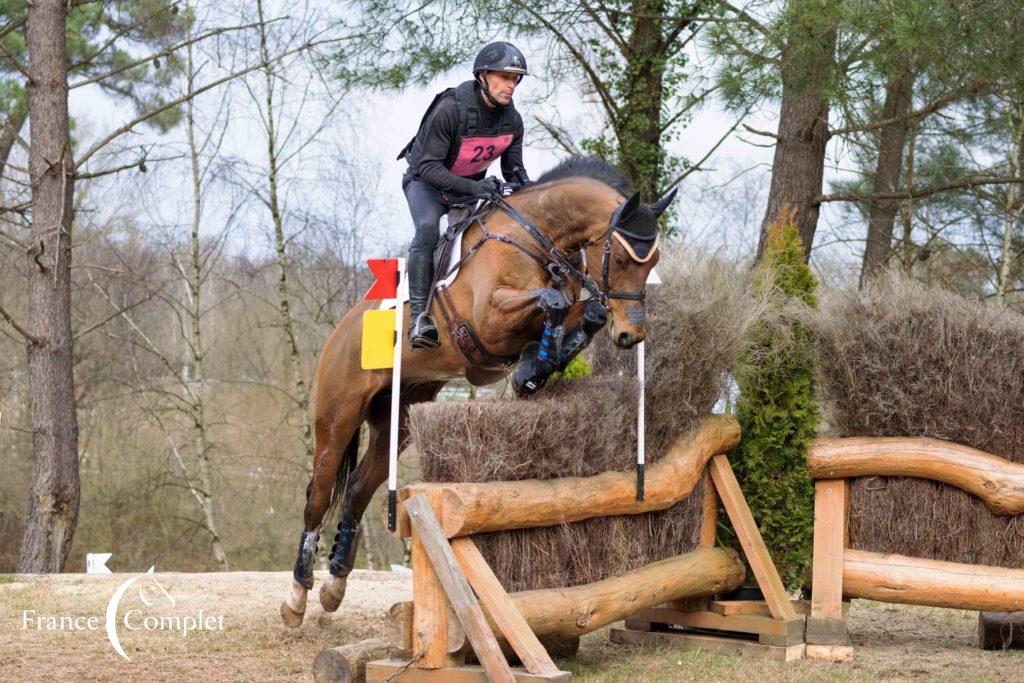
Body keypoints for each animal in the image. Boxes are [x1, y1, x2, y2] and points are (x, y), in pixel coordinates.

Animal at [284, 157, 675, 626]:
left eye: (653, 261)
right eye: (617, 256)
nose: (631, 336)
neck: (536, 237)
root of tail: (341, 329)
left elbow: (588, 312)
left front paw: (536, 368)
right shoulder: (490, 318)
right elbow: (554, 302)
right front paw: (534, 363)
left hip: (401, 416)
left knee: (359, 488)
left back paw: (335, 586)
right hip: (338, 412)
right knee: (320, 493)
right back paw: (297, 596)